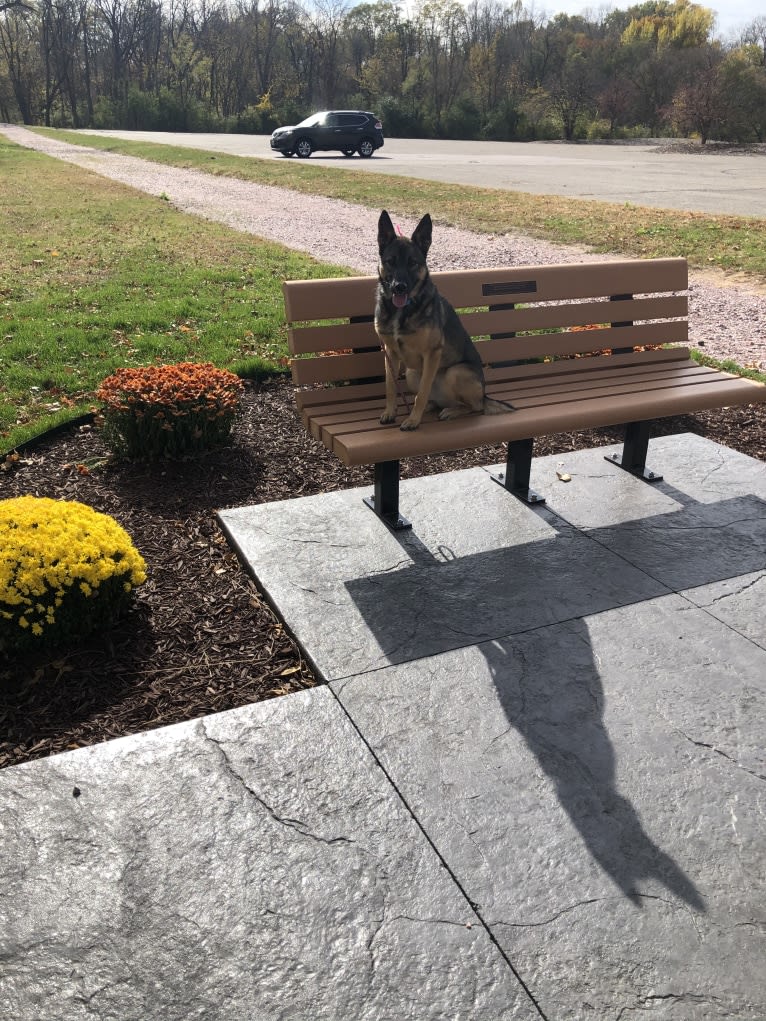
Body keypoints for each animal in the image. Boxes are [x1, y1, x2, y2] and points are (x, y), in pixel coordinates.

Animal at [373, 209, 512, 428]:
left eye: (413, 263)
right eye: (390, 261)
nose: (399, 287)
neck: (402, 311)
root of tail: (484, 394)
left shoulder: (432, 353)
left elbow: (422, 393)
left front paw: (413, 420)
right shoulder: (390, 353)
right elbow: (390, 387)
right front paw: (390, 412)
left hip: (456, 372)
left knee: (475, 407)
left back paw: (452, 411)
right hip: (412, 373)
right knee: (433, 398)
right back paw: (433, 406)